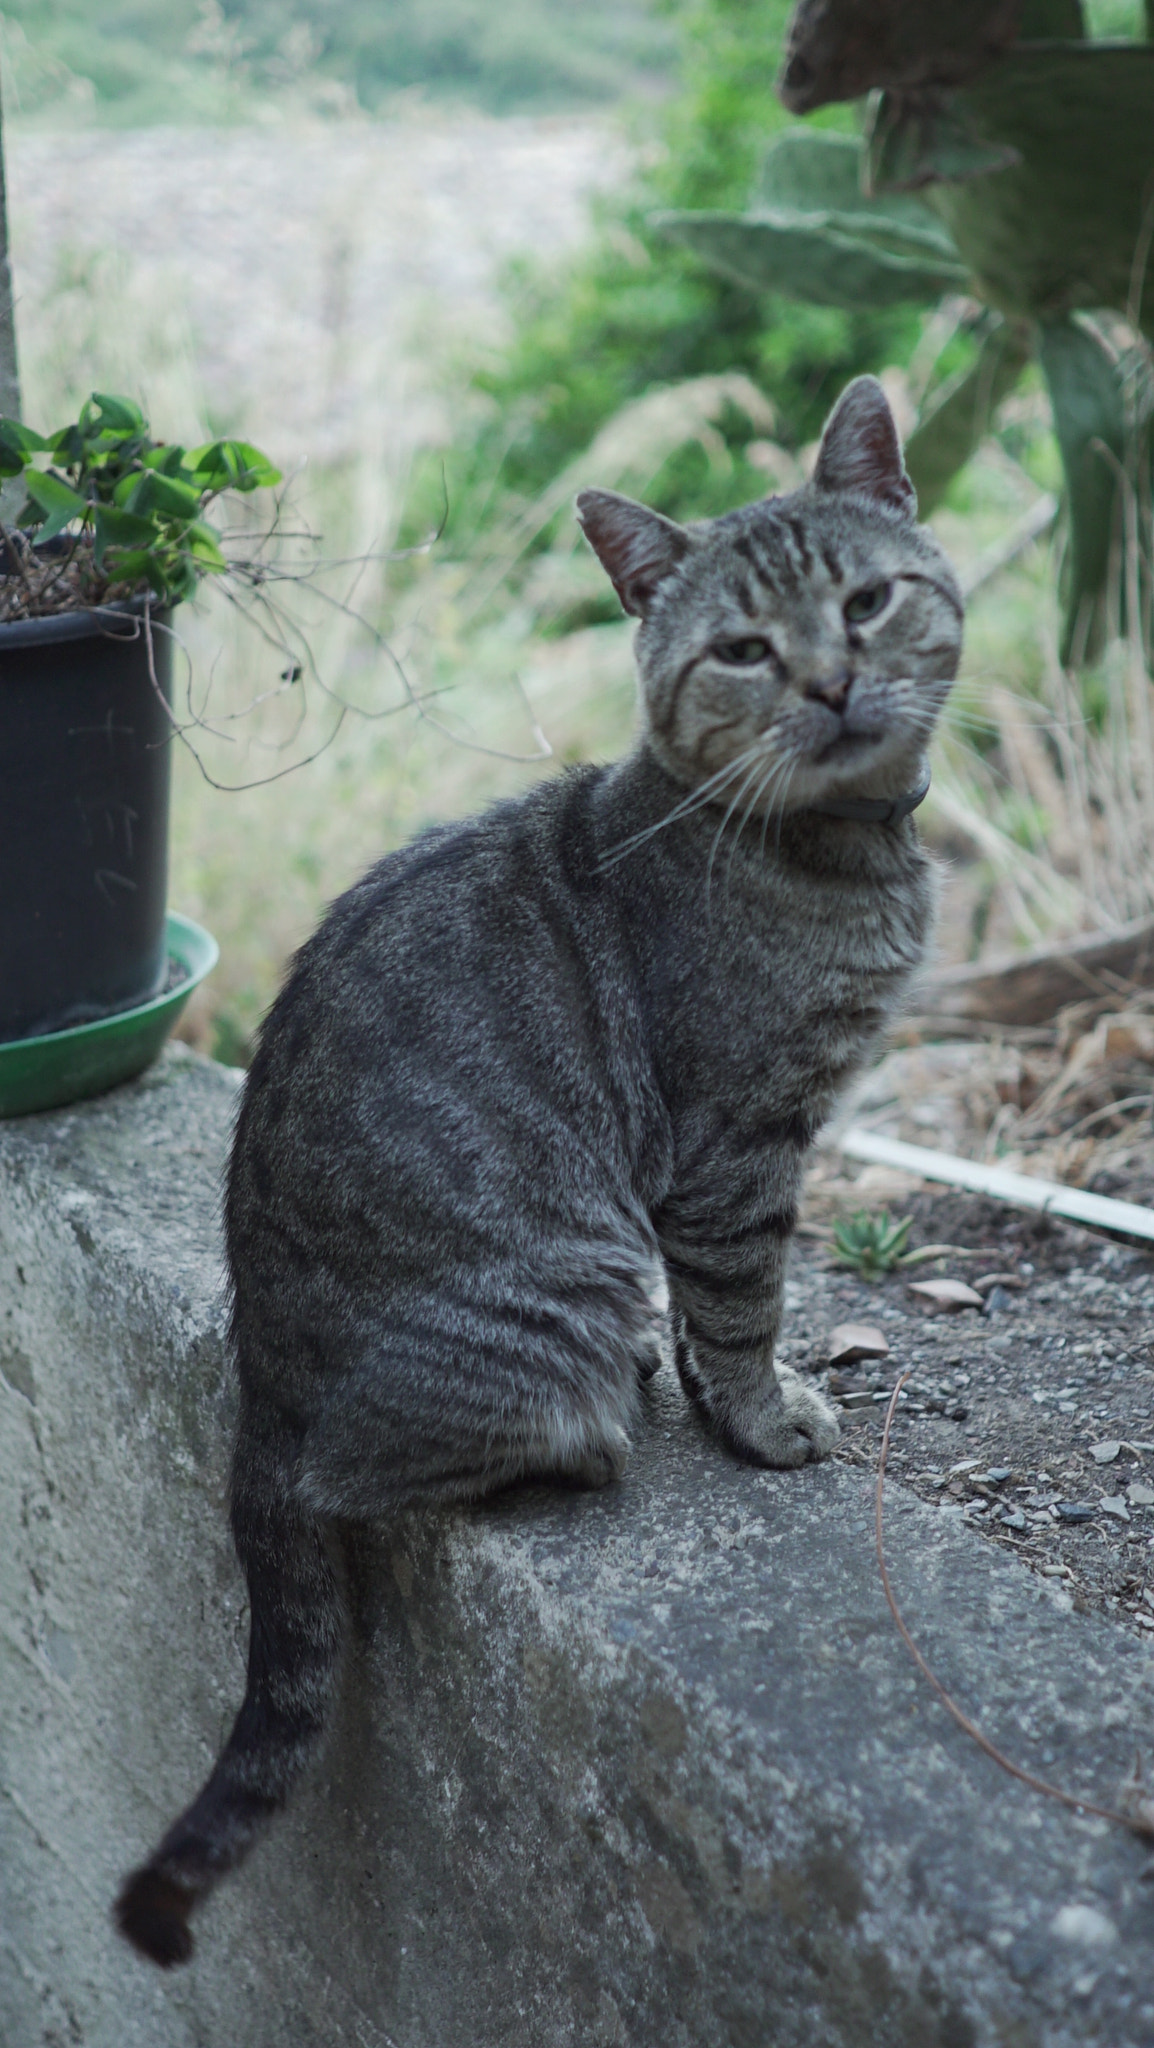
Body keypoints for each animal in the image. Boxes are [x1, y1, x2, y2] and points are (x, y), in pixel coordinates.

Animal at [119, 376, 967, 1957]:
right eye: (743, 649)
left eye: (866, 601)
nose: (829, 683)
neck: (824, 854)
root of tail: (261, 1383)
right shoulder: (734, 1147)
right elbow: (742, 1310)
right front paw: (761, 1420)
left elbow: (714, 1322)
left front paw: (714, 1385)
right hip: (559, 1285)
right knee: (378, 1478)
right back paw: (588, 1435)